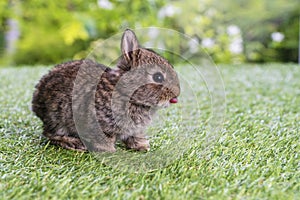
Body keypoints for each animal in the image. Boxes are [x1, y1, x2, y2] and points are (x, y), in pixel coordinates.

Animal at [31, 28, 179, 152]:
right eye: (158, 77)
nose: (177, 93)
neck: (126, 93)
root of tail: (36, 102)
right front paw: (110, 151)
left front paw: (142, 146)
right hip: (58, 117)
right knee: (49, 134)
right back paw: (74, 143)